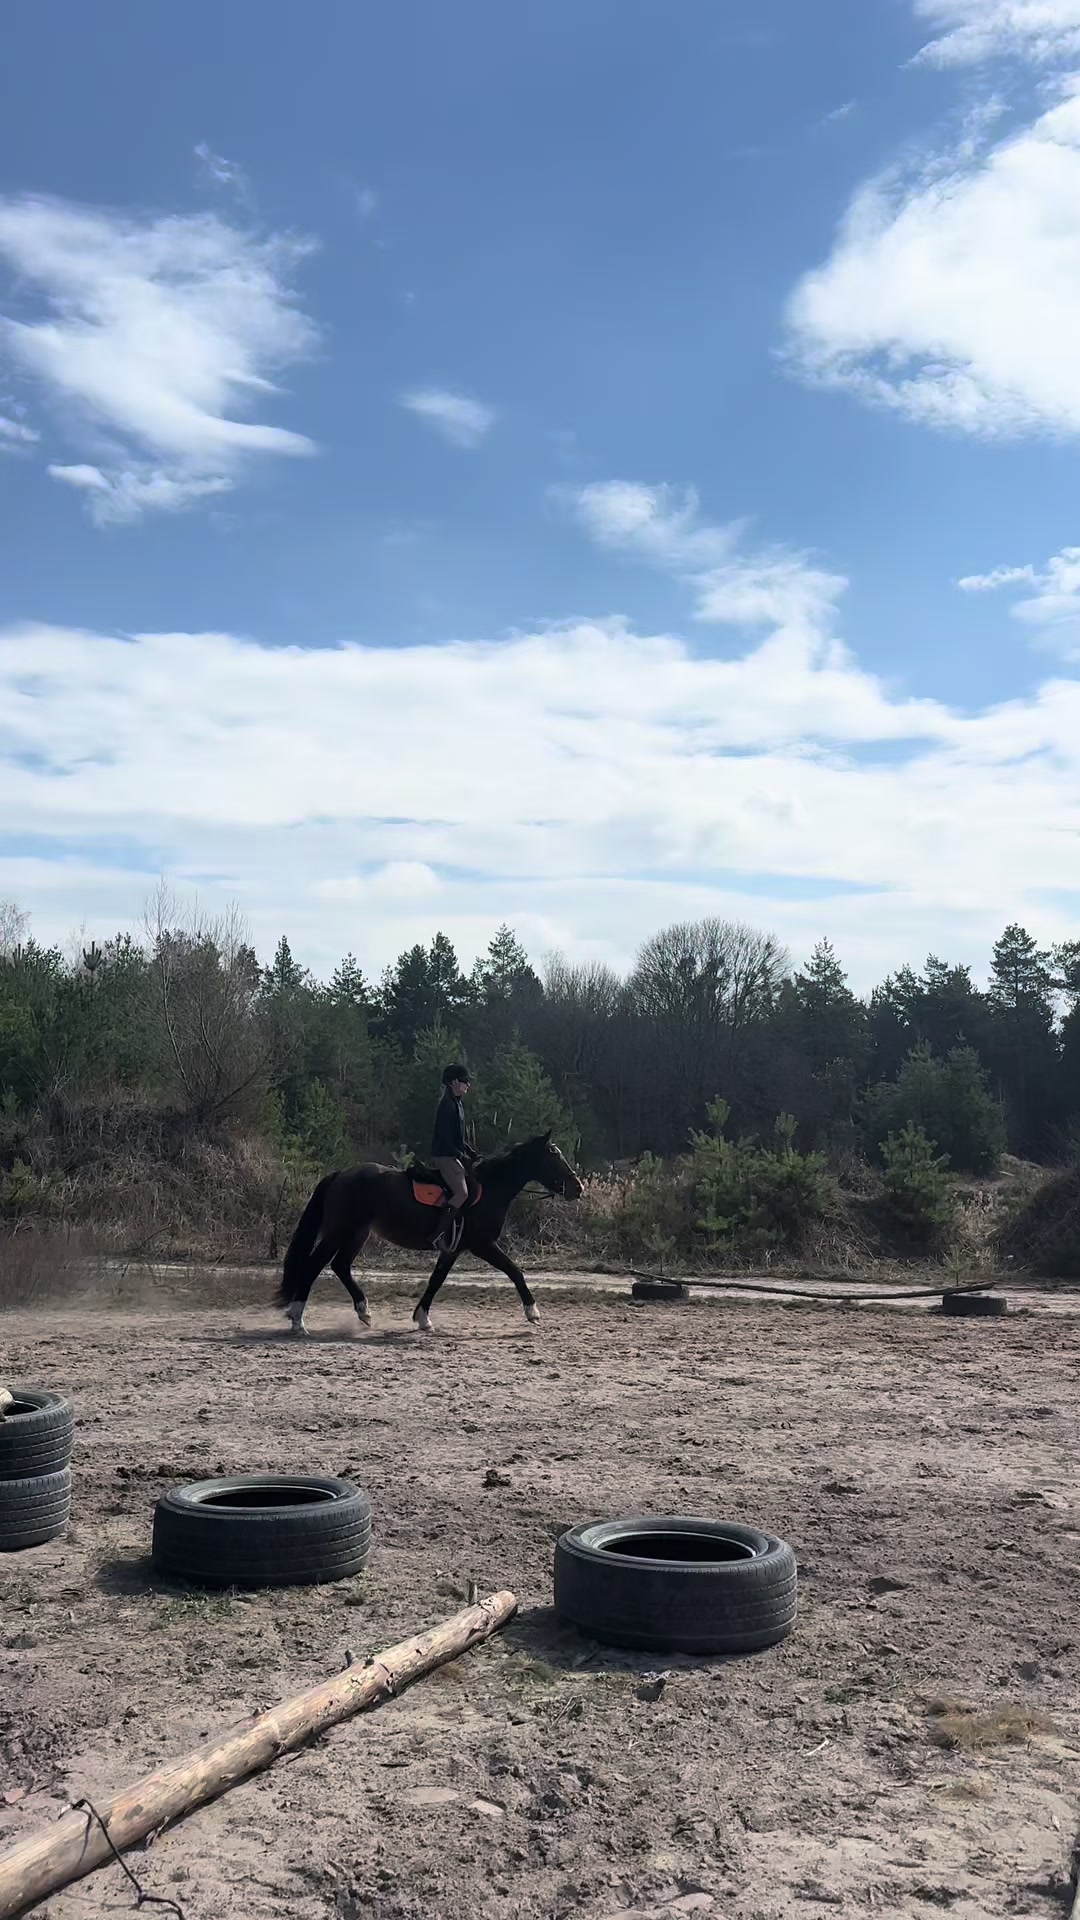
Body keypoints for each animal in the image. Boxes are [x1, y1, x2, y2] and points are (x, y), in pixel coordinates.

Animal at [275, 1130, 584, 1335]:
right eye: (553, 1155)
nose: (577, 1188)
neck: (491, 1188)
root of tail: (340, 1174)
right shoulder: (482, 1244)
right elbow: (514, 1270)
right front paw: (533, 1312)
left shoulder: (453, 1248)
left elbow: (437, 1280)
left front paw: (422, 1318)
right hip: (339, 1232)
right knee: (314, 1265)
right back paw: (298, 1319)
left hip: (357, 1234)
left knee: (340, 1265)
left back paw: (364, 1312)